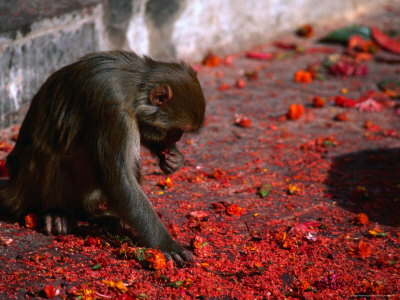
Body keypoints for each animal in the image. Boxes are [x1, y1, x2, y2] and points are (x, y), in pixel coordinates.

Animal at [0, 52, 206, 264]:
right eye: (177, 131)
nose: (177, 139)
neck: (133, 88)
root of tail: (12, 192)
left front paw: (173, 158)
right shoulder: (113, 109)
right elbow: (118, 180)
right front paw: (165, 243)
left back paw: (99, 217)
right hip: (26, 189)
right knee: (52, 155)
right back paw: (56, 212)